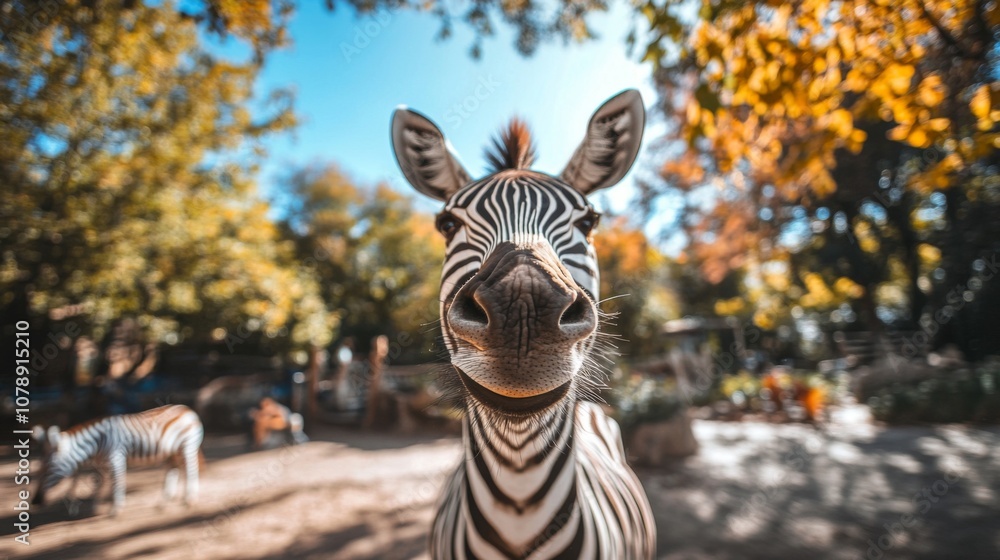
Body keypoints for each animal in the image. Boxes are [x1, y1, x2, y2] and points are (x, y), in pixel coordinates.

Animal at [33, 402, 205, 516]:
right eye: (39, 469)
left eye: (48, 469)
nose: (35, 502)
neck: (96, 444)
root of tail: (187, 409)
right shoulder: (101, 464)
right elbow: (97, 483)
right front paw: (94, 507)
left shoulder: (116, 457)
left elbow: (117, 482)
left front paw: (116, 509)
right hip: (172, 452)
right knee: (174, 470)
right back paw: (165, 502)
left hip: (187, 446)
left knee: (191, 469)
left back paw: (190, 500)